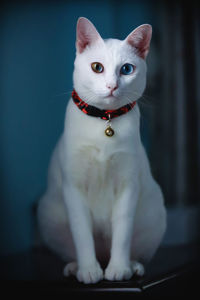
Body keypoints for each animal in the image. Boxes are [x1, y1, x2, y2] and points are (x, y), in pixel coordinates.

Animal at [37, 16, 166, 284]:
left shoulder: (128, 186)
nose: (111, 86)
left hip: (154, 211)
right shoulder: (73, 188)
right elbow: (82, 234)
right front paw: (89, 270)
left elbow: (123, 233)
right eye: (97, 67)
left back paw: (132, 265)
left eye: (126, 69)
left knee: (133, 248)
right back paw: (76, 267)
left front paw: (119, 268)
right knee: (72, 248)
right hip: (48, 213)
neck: (105, 122)